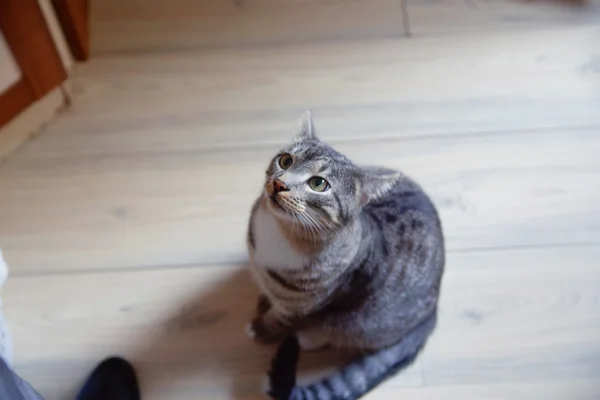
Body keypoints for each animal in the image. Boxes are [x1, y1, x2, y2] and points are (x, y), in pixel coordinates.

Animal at [245, 110, 446, 400]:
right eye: (285, 160)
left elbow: (277, 320)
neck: (282, 232)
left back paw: (307, 337)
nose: (279, 183)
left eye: (318, 184)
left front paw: (261, 328)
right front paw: (263, 299)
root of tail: (432, 311)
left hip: (359, 324)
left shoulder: (300, 307)